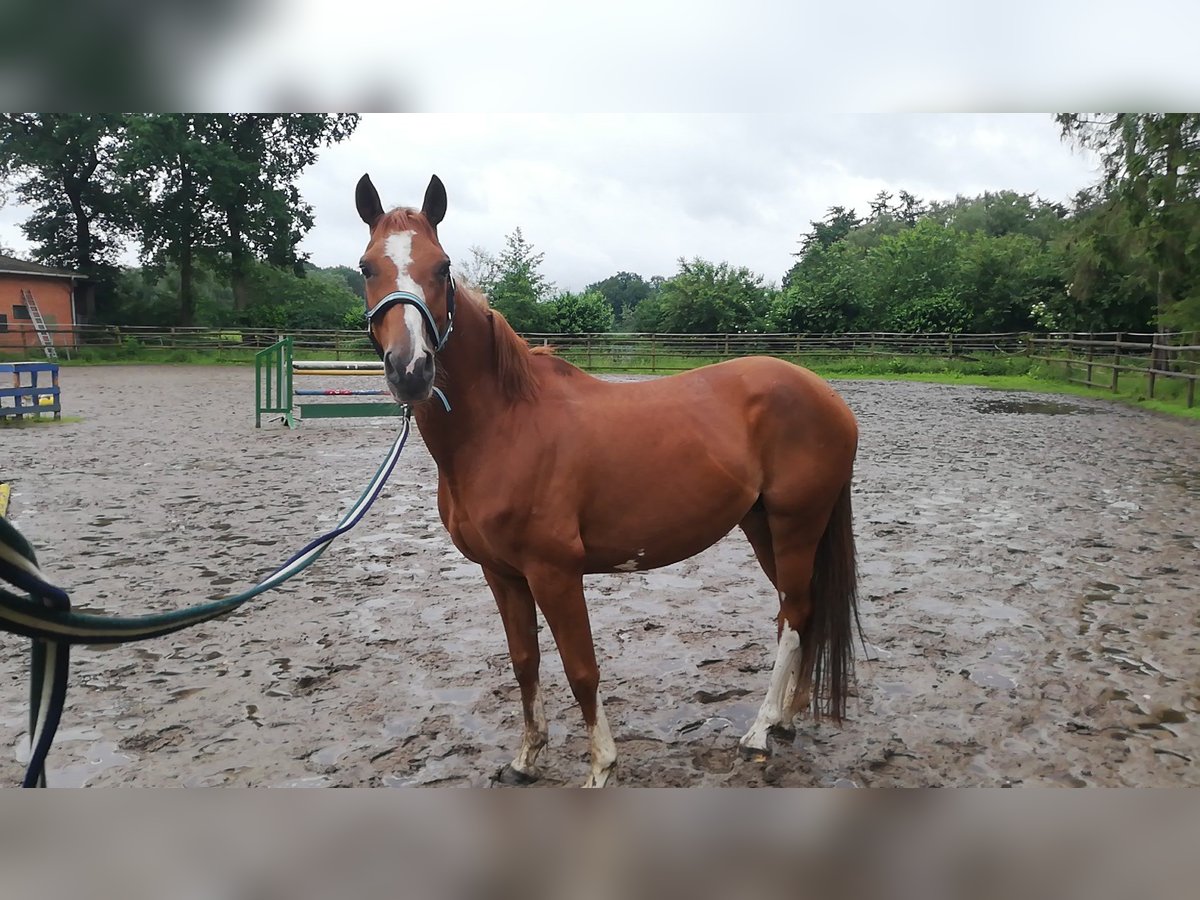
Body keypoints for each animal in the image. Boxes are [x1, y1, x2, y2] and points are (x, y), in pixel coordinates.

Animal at [355, 172, 864, 787]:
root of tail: (828, 397)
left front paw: (601, 767)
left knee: (794, 615)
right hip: (763, 525)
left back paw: (760, 733)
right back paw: (786, 721)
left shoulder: (554, 572)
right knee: (804, 612)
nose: (411, 370)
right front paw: (526, 758)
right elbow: (524, 661)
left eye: (442, 266)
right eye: (366, 267)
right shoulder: (502, 574)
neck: (503, 425)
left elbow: (582, 669)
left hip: (796, 524)